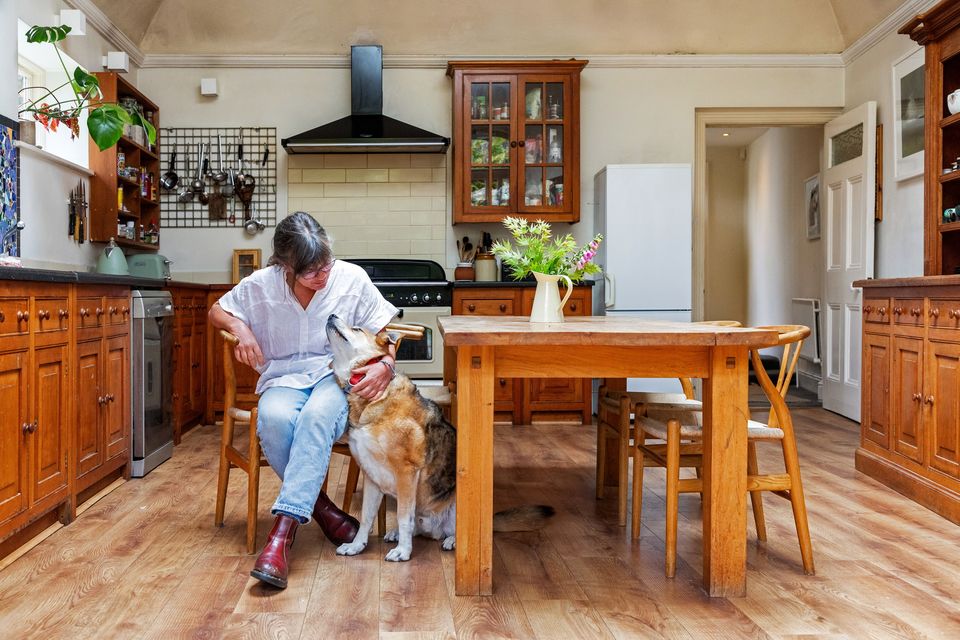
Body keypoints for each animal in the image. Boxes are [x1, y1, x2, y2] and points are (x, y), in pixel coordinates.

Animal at [326, 314, 552, 560]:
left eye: (356, 328)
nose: (331, 316)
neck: (374, 399)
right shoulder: (371, 476)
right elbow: (367, 517)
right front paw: (357, 546)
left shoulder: (406, 473)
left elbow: (404, 517)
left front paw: (403, 552)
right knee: (418, 527)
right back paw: (397, 534)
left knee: (455, 531)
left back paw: (450, 541)